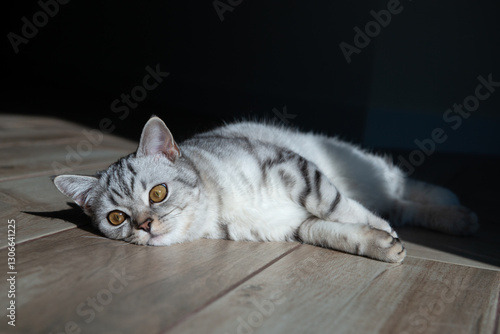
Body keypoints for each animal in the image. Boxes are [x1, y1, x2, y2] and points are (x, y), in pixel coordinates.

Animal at [52, 117, 478, 264]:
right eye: (116, 218)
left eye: (157, 194)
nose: (144, 226)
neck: (222, 210)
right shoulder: (294, 226)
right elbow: (332, 231)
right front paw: (380, 244)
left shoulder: (298, 172)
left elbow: (339, 208)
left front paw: (381, 230)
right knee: (401, 203)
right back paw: (453, 218)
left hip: (360, 166)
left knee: (400, 185)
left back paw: (455, 208)